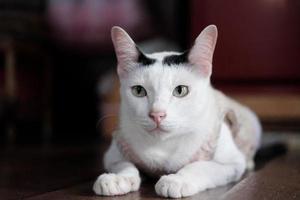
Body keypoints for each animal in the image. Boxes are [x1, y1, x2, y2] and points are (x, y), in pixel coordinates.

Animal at [92, 25, 262, 198]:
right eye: (138, 91)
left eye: (180, 90)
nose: (157, 114)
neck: (163, 145)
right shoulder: (112, 154)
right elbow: (124, 164)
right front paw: (117, 178)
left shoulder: (232, 163)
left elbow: (201, 166)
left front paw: (177, 180)